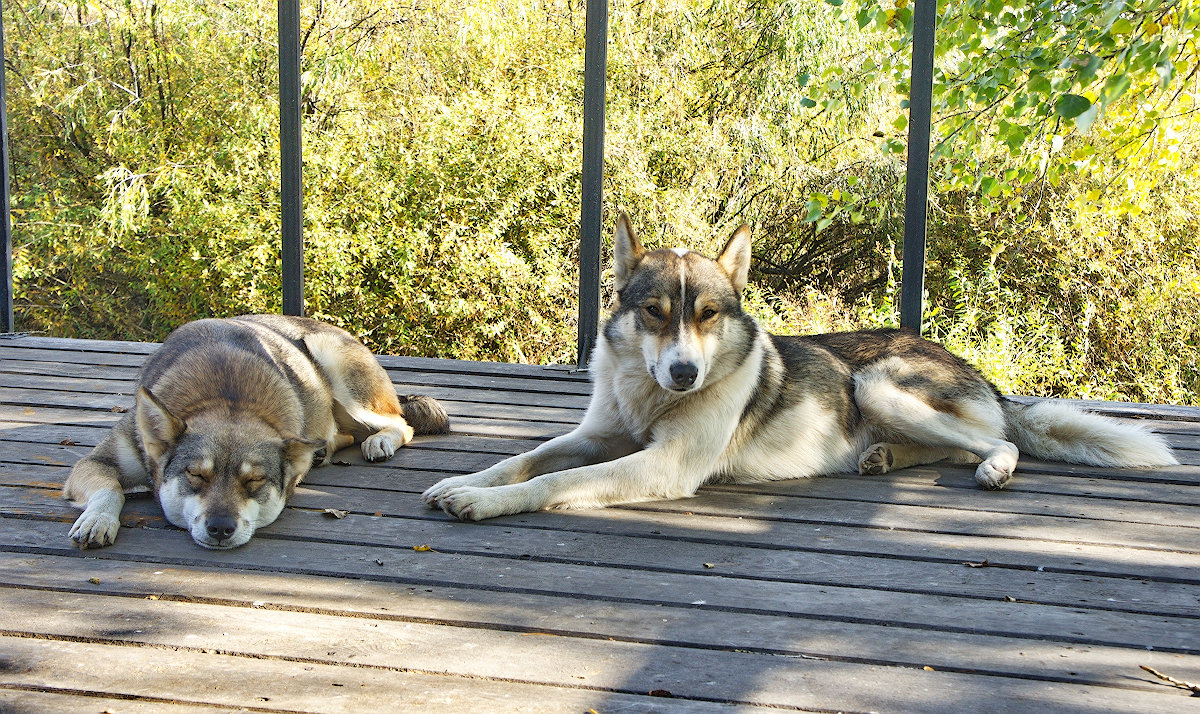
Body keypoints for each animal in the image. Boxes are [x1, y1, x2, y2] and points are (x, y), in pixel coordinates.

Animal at [65, 316, 451, 549]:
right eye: (196, 475)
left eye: (254, 481)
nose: (221, 528)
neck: (225, 394)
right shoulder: (93, 463)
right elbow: (111, 489)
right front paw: (97, 520)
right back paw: (323, 451)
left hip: (344, 383)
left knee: (401, 424)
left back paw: (379, 440)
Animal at [424, 212, 1180, 520]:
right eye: (657, 313)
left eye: (708, 314)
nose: (684, 375)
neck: (649, 396)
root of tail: (975, 368)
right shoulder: (594, 436)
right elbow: (524, 458)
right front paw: (462, 480)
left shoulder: (661, 464)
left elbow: (552, 483)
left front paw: (483, 502)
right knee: (948, 447)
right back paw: (880, 458)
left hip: (876, 383)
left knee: (993, 442)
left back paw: (990, 465)